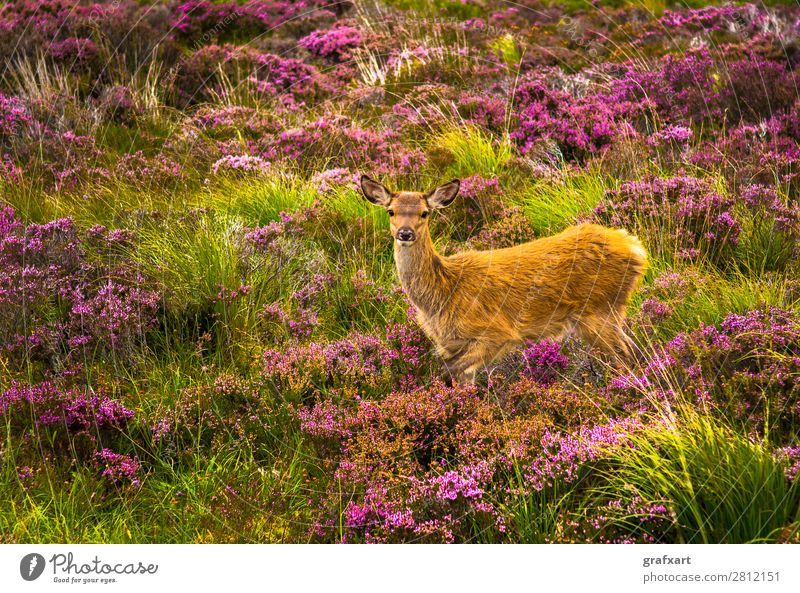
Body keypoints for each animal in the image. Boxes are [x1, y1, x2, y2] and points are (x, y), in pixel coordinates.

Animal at [360, 175, 648, 384]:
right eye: (390, 211)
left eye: (424, 213)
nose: (405, 233)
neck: (443, 292)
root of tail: (636, 249)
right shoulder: (451, 344)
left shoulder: (495, 333)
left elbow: (447, 370)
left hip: (599, 309)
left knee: (626, 354)